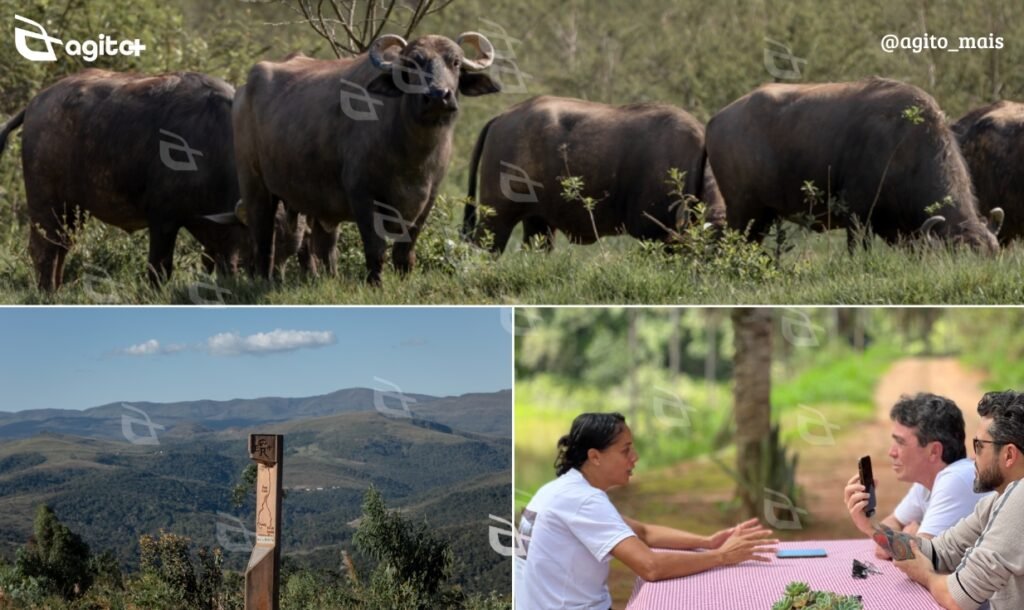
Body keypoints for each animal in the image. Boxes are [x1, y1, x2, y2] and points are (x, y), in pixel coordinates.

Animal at [0, 71, 256, 290]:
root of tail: (35, 103)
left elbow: (220, 261)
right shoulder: (163, 220)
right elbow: (159, 269)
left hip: (74, 208)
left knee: (62, 245)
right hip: (45, 201)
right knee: (44, 247)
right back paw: (47, 292)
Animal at [233, 30, 503, 284]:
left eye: (455, 62)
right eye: (412, 64)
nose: (438, 96)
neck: (412, 155)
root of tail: (244, 90)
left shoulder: (427, 199)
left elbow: (404, 252)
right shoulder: (362, 195)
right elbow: (375, 249)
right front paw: (376, 284)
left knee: (322, 246)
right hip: (255, 185)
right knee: (264, 240)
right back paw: (264, 280)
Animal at [704, 76, 999, 252]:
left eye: (991, 257)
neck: (905, 144)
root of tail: (716, 120)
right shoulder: (857, 215)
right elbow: (858, 248)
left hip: (762, 214)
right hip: (742, 210)